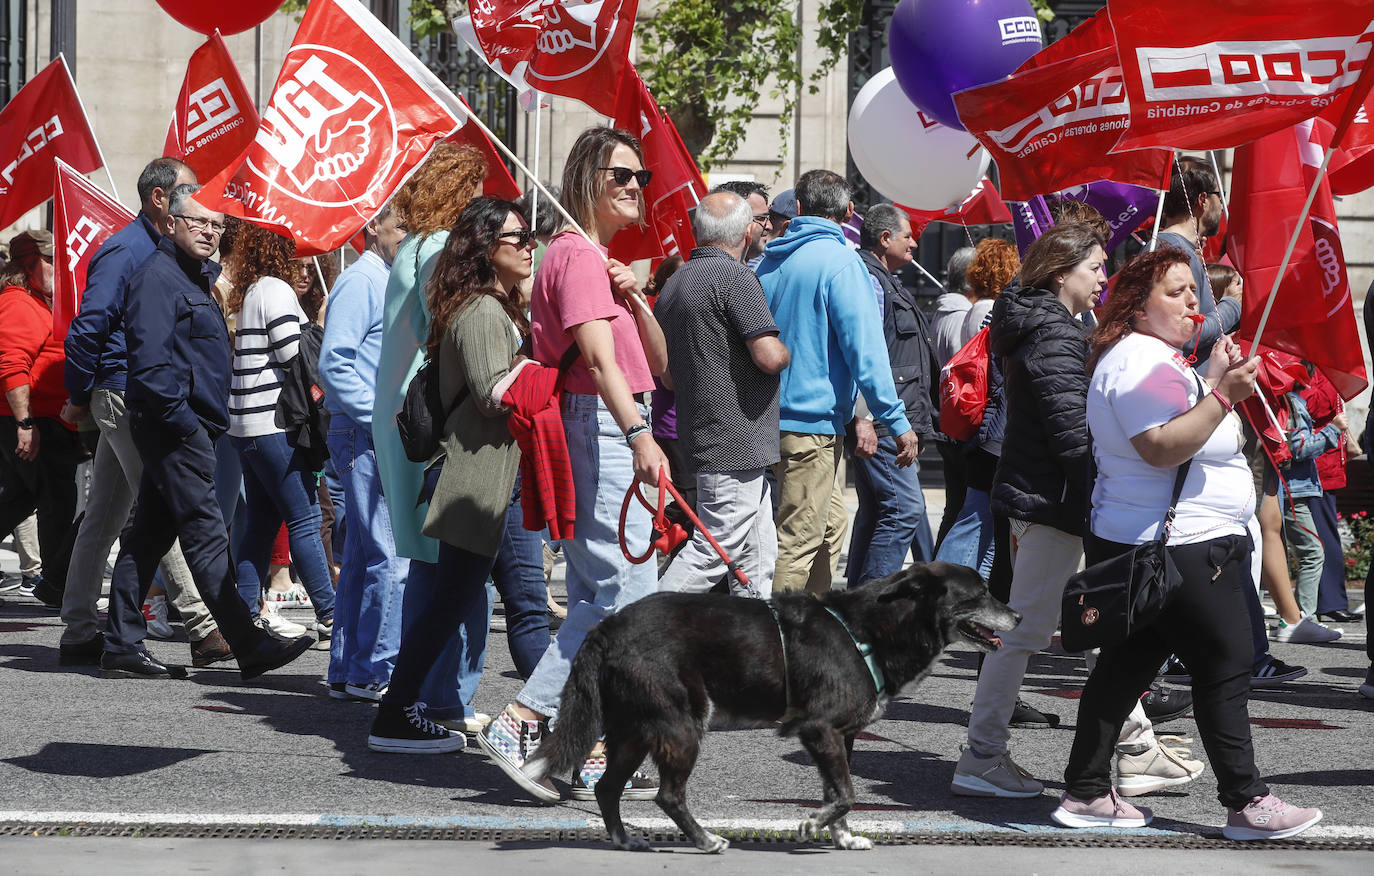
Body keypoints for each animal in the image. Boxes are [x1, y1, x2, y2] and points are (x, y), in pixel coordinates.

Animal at [524, 562, 1022, 856]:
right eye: (980, 593)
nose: (1018, 616)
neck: (869, 628)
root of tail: (606, 627)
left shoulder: (842, 736)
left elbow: (838, 793)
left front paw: (842, 837)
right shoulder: (819, 729)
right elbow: (846, 794)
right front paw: (810, 826)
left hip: (635, 729)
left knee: (608, 788)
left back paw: (625, 838)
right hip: (680, 725)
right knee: (668, 795)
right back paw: (706, 841)